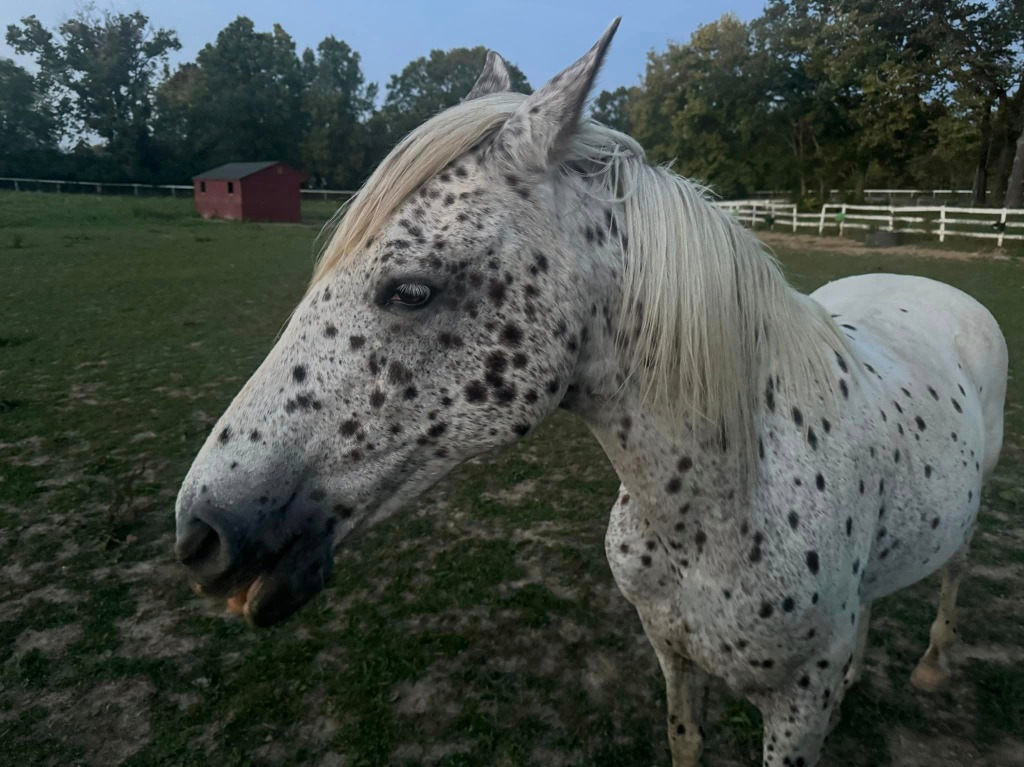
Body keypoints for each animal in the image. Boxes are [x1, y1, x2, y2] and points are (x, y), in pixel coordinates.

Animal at [174, 19, 1008, 766]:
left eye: (410, 290)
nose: (201, 533)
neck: (723, 508)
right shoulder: (674, 655)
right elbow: (685, 740)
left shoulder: (796, 711)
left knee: (956, 571)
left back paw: (931, 664)